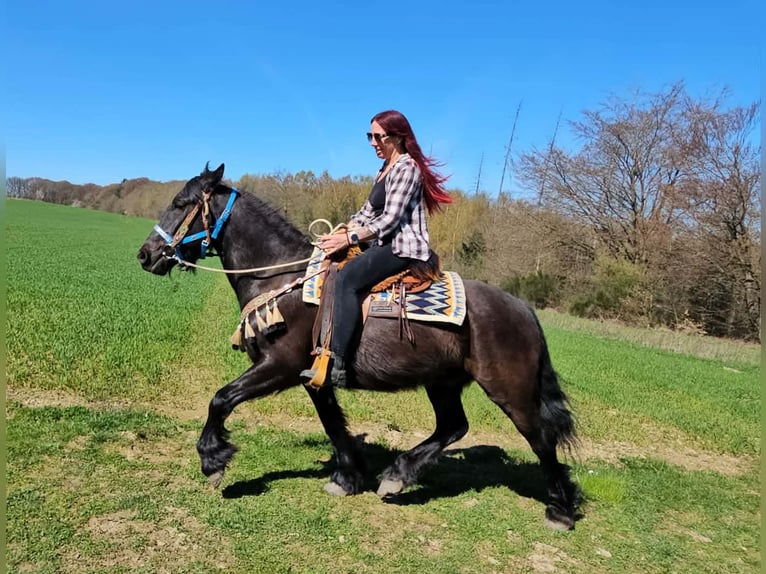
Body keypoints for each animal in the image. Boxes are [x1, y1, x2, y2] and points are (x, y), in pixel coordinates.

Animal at [137, 163, 580, 530]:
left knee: (540, 438)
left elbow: (221, 399)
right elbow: (333, 423)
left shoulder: (279, 365)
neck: (282, 278)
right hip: (443, 382)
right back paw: (398, 476)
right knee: (454, 426)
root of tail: (523, 309)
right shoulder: (314, 377)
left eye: (180, 203)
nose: (145, 254)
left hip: (510, 390)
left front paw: (212, 460)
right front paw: (348, 477)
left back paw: (560, 509)